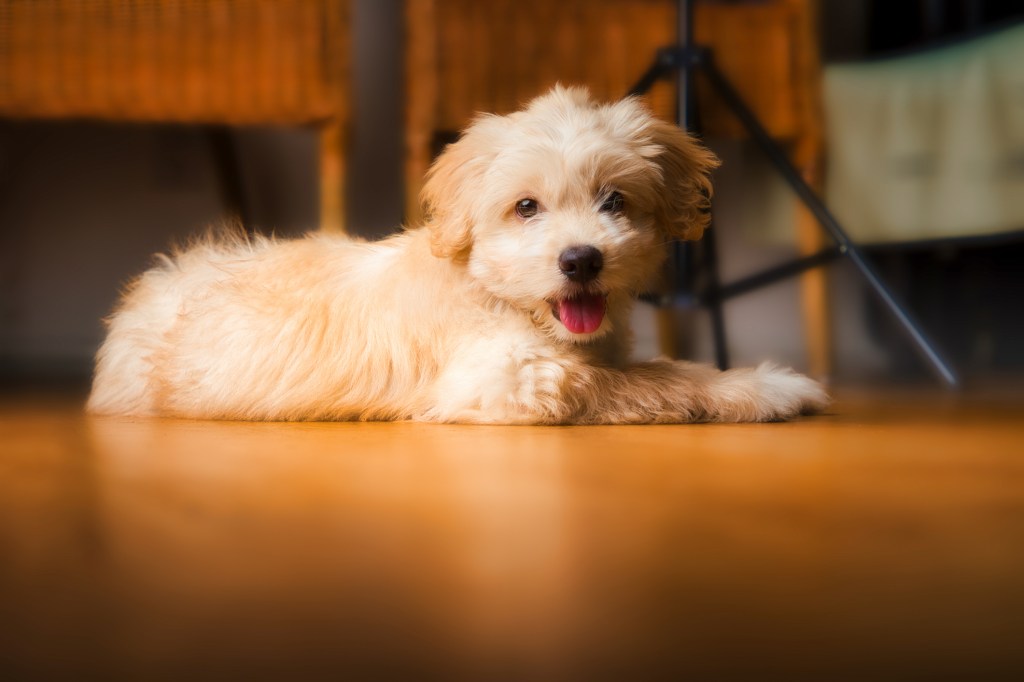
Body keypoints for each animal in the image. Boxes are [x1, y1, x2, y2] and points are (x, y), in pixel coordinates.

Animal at [86, 87, 823, 421]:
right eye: (525, 207)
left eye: (615, 201)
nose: (581, 260)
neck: (495, 295)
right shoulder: (506, 381)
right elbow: (640, 380)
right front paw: (770, 386)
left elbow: (658, 366)